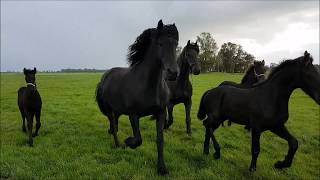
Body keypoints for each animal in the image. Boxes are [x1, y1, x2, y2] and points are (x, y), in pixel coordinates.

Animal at [96, 19, 179, 174]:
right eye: (160, 43)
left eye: (176, 44)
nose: (173, 73)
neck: (148, 85)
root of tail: (105, 76)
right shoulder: (133, 115)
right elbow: (138, 139)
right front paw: (128, 142)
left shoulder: (160, 113)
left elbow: (160, 141)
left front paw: (162, 168)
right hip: (110, 110)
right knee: (113, 126)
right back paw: (118, 145)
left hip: (117, 110)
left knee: (114, 124)